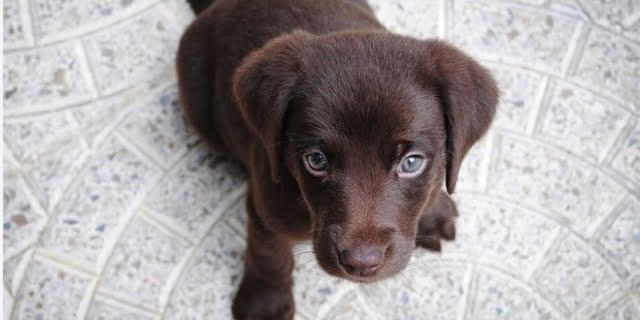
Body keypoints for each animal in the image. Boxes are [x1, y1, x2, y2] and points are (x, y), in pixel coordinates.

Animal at [178, 0, 498, 318]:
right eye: (316, 160)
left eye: (411, 162)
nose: (361, 262)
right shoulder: (265, 207)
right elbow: (269, 256)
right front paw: (266, 304)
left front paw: (434, 210)